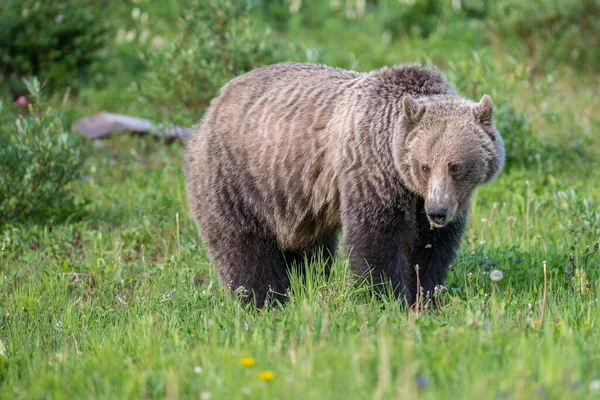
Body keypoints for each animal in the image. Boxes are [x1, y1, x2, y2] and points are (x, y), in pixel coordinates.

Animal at [185, 62, 504, 306]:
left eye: (456, 166)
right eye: (425, 167)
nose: (437, 211)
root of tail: (210, 109)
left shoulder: (429, 201)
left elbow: (430, 249)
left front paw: (424, 296)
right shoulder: (371, 174)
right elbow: (376, 241)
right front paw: (390, 298)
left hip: (297, 202)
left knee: (311, 253)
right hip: (236, 178)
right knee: (243, 247)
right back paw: (264, 300)